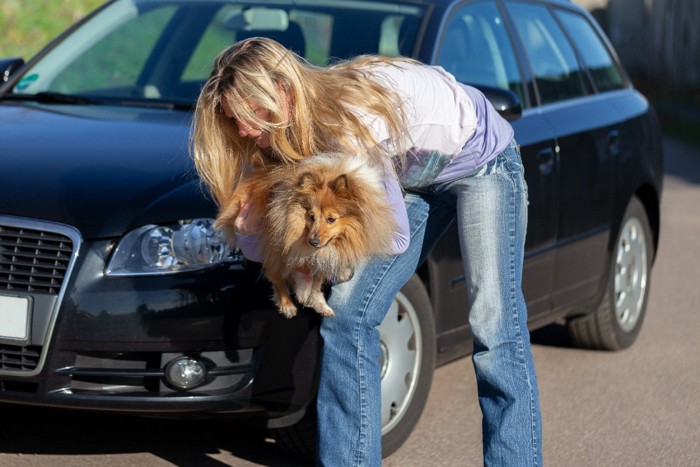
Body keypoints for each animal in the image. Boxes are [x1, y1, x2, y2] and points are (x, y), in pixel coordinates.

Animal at [216, 155, 396, 320]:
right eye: (311, 216)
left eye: (331, 219)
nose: (313, 241)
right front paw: (297, 298)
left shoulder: (322, 255)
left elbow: (317, 282)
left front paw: (318, 301)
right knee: (276, 277)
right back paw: (288, 305)